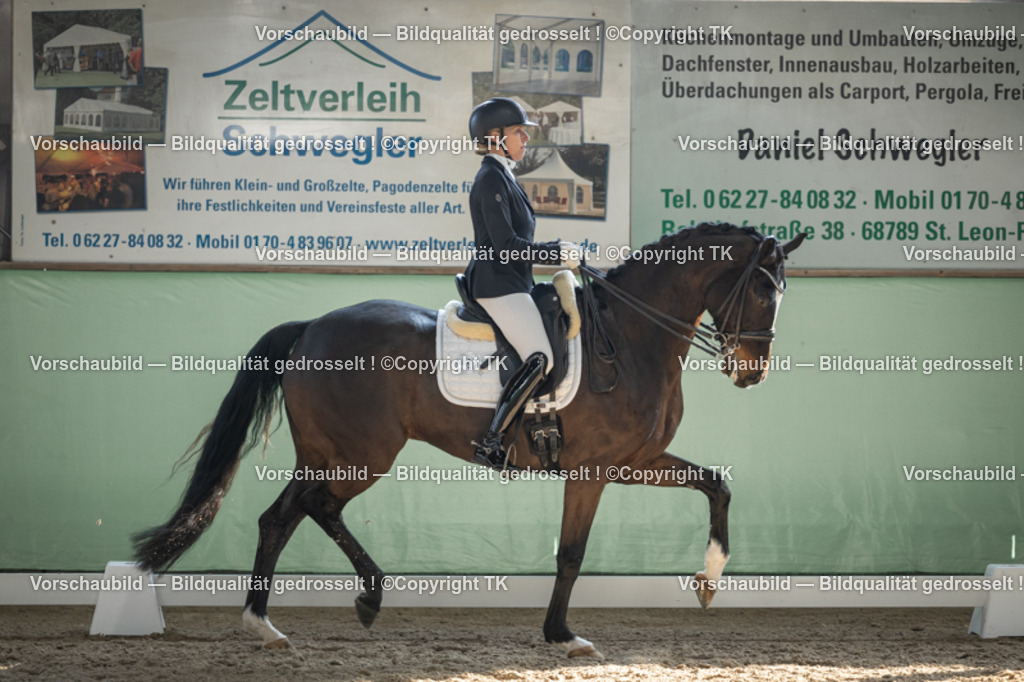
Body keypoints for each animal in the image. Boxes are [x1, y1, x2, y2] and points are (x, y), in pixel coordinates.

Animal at [133, 223, 806, 658]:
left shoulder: (634, 460)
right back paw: (364, 598)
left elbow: (716, 484)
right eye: (762, 289)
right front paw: (563, 636)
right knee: (313, 509)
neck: (631, 337)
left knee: (282, 516)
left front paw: (710, 581)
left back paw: (264, 624)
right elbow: (571, 553)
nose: (752, 371)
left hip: (328, 454)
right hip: (361, 457)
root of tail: (311, 328)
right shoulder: (591, 471)